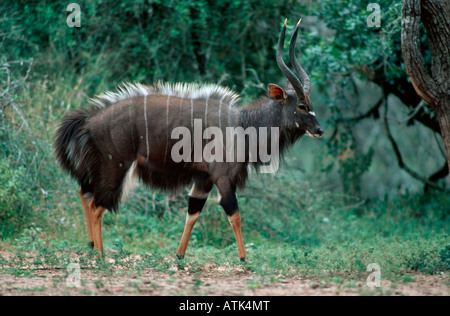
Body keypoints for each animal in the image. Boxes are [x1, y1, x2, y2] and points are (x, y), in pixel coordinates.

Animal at [54, 19, 322, 262]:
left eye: (311, 103)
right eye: (301, 105)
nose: (319, 130)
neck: (244, 124)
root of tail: (90, 121)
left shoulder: (203, 179)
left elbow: (193, 212)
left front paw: (180, 256)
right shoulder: (222, 177)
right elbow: (234, 214)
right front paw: (244, 259)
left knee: (85, 192)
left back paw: (91, 247)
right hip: (115, 168)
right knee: (96, 205)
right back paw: (99, 255)